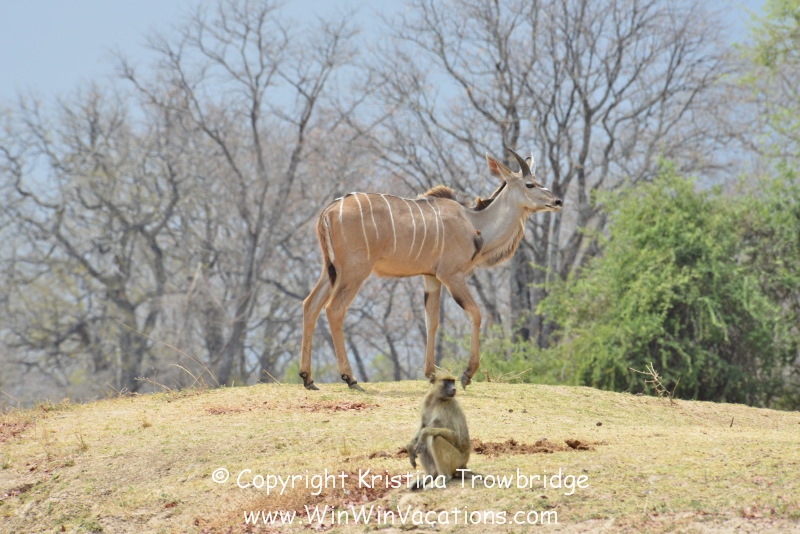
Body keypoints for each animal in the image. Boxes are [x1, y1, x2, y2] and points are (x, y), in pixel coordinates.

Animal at [299, 147, 562, 391]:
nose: (558, 201)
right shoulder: (451, 275)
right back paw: (350, 379)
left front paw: (431, 373)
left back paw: (308, 378)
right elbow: (475, 313)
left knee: (310, 304)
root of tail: (329, 211)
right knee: (334, 309)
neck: (474, 223)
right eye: (530, 184)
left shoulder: (431, 277)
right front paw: (467, 374)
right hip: (355, 271)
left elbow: (431, 320)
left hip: (332, 271)